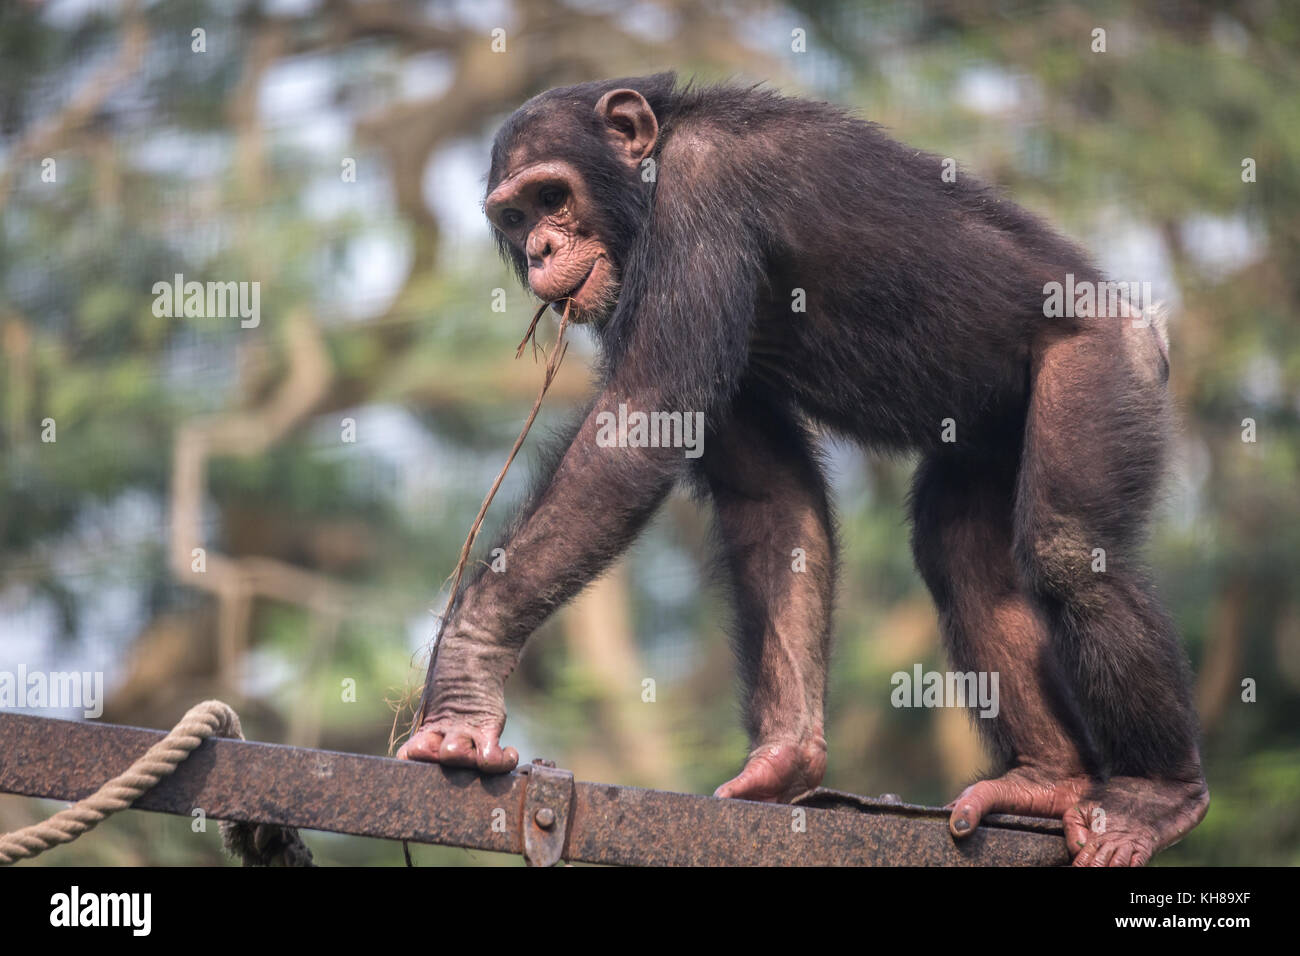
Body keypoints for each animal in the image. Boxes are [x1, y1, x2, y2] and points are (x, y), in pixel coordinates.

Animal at [397, 72, 1206, 868]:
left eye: (551, 196)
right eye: (512, 215)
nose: (537, 247)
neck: (646, 181)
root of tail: (1145, 322)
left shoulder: (702, 199)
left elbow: (638, 427)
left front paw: (465, 678)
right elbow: (769, 495)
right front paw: (784, 760)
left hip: (1103, 361)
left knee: (1070, 553)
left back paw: (1154, 795)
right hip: (990, 434)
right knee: (962, 556)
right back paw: (1046, 778)